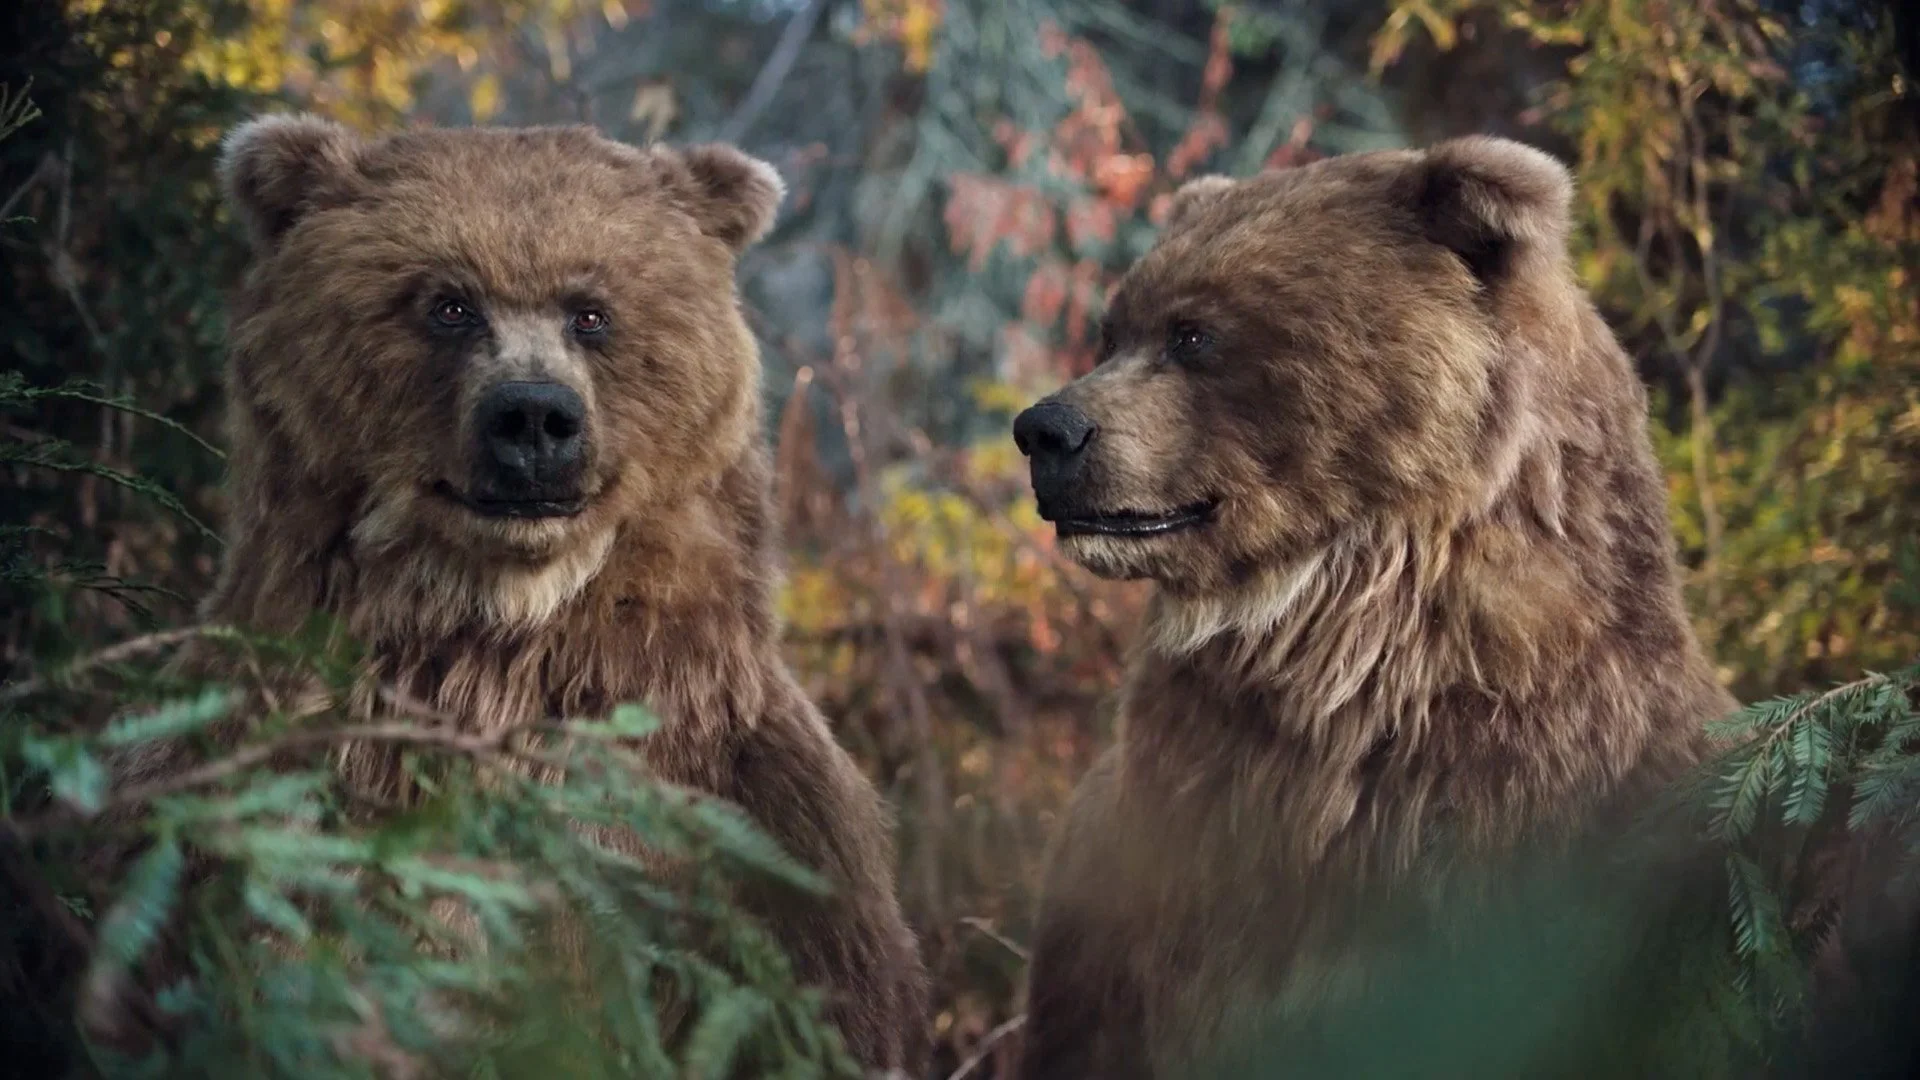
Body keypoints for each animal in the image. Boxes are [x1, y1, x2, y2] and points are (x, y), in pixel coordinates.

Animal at [89, 114, 929, 1073]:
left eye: (590, 311)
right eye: (450, 304)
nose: (533, 416)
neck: (500, 633)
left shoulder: (757, 819)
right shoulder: (242, 781)